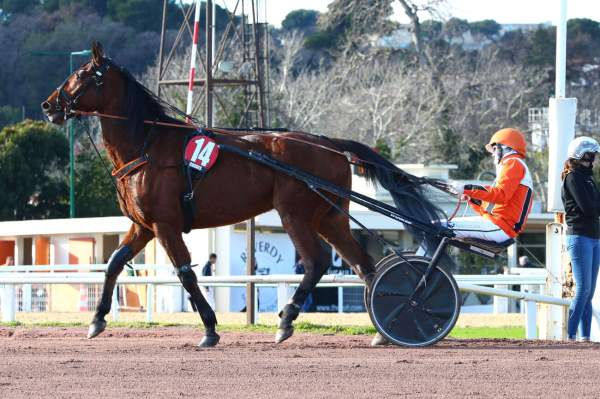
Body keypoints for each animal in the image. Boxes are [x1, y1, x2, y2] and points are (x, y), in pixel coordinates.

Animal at [42, 43, 442, 346]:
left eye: (81, 75)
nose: (49, 105)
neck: (148, 144)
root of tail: (329, 143)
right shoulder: (144, 225)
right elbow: (112, 264)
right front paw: (96, 320)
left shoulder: (166, 224)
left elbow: (185, 273)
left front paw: (209, 328)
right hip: (330, 216)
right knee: (362, 264)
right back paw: (384, 329)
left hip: (294, 213)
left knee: (316, 261)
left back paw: (287, 321)